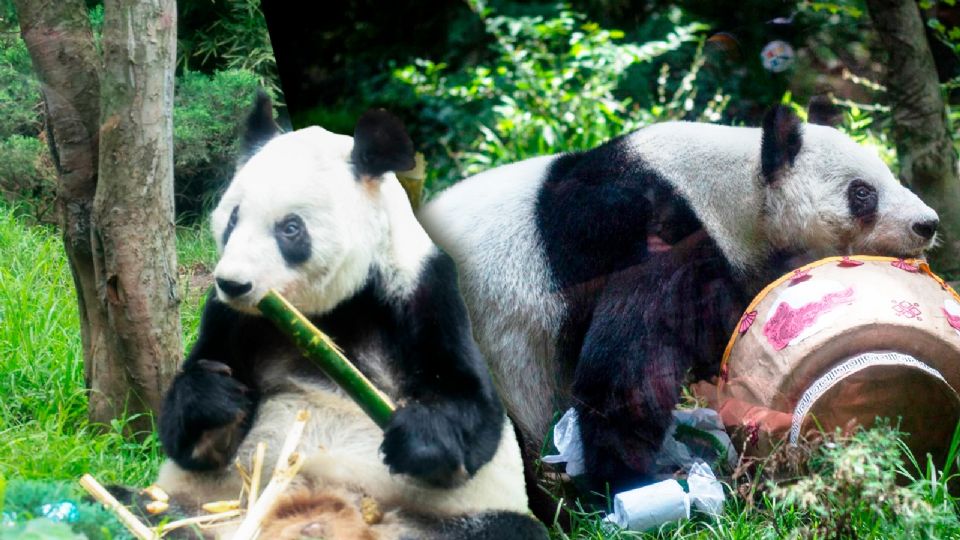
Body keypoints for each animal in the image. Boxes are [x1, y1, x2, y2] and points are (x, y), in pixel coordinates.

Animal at [154, 93, 548, 540]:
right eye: (233, 218)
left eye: (291, 229)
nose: (233, 283)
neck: (324, 312)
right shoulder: (231, 317)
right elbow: (189, 439)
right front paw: (215, 396)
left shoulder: (424, 291)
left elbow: (473, 407)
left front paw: (418, 434)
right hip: (207, 507)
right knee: (150, 508)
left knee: (509, 528)